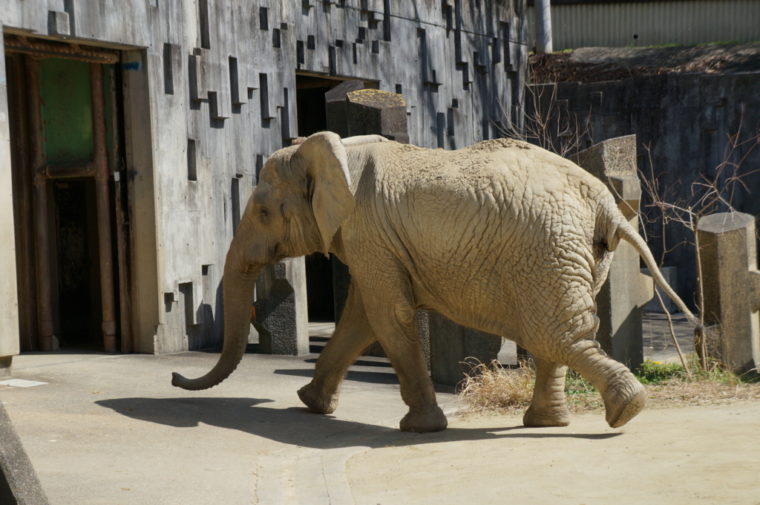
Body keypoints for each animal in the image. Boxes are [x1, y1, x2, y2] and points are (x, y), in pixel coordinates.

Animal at [172, 131, 696, 434]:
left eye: (263, 212)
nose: (176, 378)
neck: (338, 152)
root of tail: (606, 204)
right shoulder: (373, 240)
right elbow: (362, 318)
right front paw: (311, 405)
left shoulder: (367, 230)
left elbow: (387, 314)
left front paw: (419, 429)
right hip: (575, 253)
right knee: (555, 334)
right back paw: (553, 422)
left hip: (546, 248)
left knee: (554, 334)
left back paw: (624, 411)